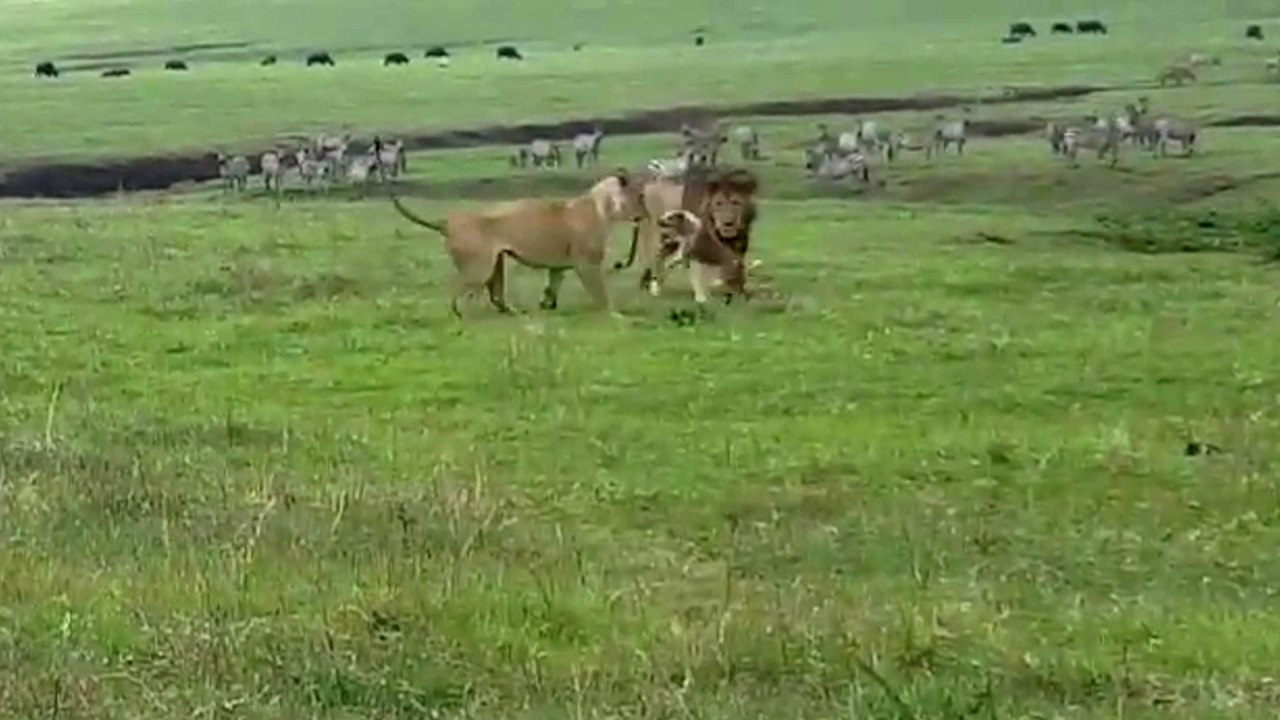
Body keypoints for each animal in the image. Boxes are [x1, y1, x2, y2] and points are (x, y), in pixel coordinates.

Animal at [388, 170, 647, 317]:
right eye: (640, 196)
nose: (645, 214)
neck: (604, 206)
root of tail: (448, 221)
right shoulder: (587, 263)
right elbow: (600, 292)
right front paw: (614, 313)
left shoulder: (559, 266)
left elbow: (553, 284)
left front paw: (546, 305)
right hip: (480, 267)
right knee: (460, 293)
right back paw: (467, 315)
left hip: (496, 263)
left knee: (495, 295)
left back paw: (515, 312)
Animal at [615, 166, 759, 297]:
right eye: (718, 203)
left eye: (736, 202)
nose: (728, 223)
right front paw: (703, 294)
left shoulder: (737, 246)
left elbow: (735, 266)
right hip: (657, 237)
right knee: (656, 260)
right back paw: (654, 288)